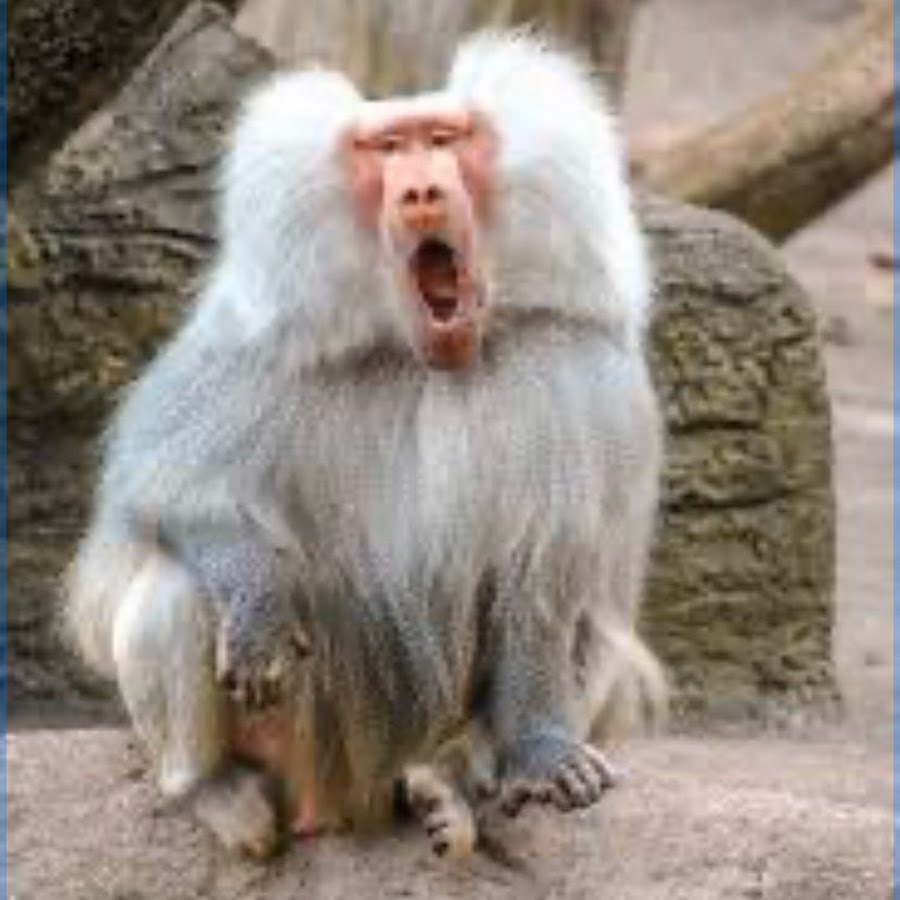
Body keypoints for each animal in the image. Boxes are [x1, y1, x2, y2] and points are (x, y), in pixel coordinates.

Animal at [66, 31, 666, 861]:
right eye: (386, 149)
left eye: (443, 139)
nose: (419, 194)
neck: (429, 357)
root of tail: (350, 807)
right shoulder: (254, 345)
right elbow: (160, 491)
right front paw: (256, 596)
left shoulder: (575, 369)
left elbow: (542, 580)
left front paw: (543, 756)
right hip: (304, 750)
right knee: (176, 583)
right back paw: (213, 791)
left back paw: (451, 788)